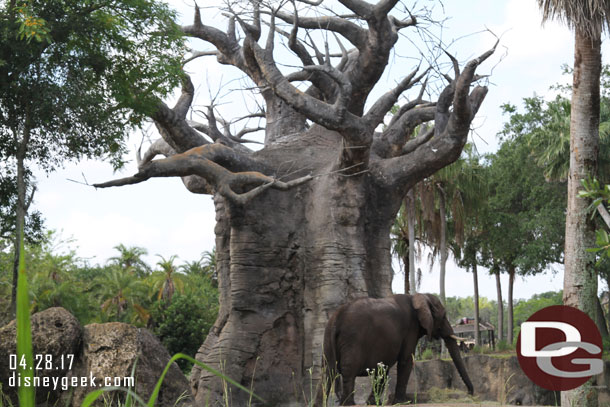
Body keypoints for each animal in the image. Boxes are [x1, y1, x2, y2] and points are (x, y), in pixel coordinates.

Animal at [318, 294, 470, 404]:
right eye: (444, 316)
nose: (470, 393)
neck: (418, 297)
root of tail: (337, 316)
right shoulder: (411, 329)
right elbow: (406, 361)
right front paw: (402, 402)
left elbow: (384, 369)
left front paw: (374, 403)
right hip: (353, 339)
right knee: (348, 371)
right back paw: (348, 404)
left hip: (327, 337)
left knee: (327, 372)